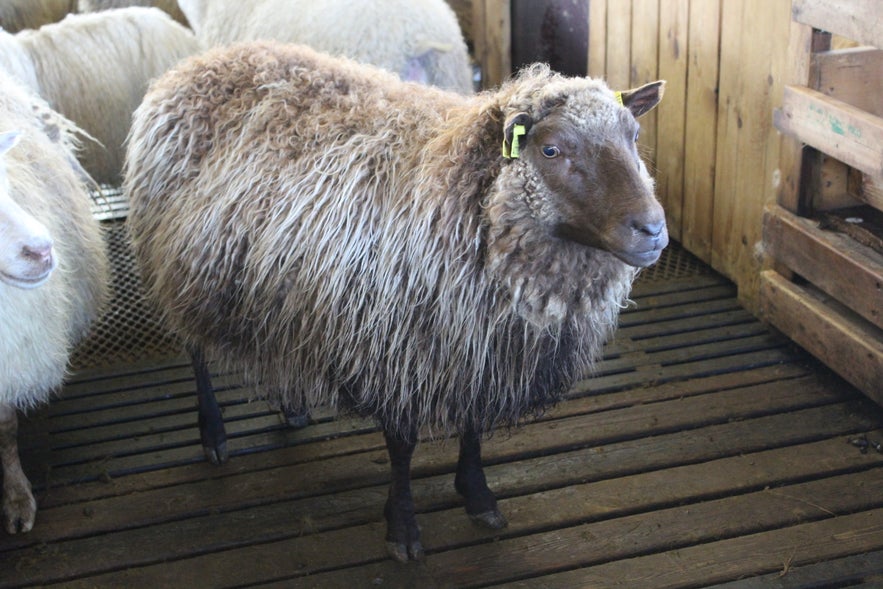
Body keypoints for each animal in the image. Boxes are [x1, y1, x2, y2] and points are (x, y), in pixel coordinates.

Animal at [121, 42, 668, 560]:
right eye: (551, 150)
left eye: (634, 136)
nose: (653, 229)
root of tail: (198, 63)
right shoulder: (396, 350)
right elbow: (402, 448)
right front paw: (402, 529)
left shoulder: (475, 350)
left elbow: (473, 428)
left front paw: (478, 496)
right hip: (170, 259)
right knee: (194, 351)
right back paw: (213, 434)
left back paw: (291, 405)